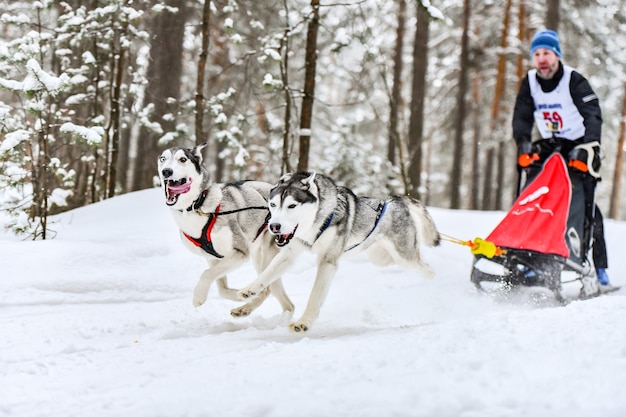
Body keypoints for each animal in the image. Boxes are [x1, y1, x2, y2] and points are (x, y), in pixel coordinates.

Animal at [156, 143, 292, 316]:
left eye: (183, 159)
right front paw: (237, 295)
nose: (166, 171)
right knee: (282, 300)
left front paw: (198, 296)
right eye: (163, 159)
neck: (197, 207)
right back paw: (248, 308)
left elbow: (206, 274)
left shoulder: (240, 253)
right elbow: (221, 289)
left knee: (266, 288)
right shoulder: (214, 259)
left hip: (266, 256)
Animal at [238, 171, 438, 330]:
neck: (316, 222)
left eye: (291, 206)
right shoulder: (290, 253)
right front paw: (248, 289)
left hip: (405, 257)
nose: (274, 226)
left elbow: (315, 295)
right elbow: (268, 273)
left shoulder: (327, 262)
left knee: (426, 268)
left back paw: (434, 284)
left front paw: (304, 322)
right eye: (272, 205)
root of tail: (395, 200)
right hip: (381, 257)